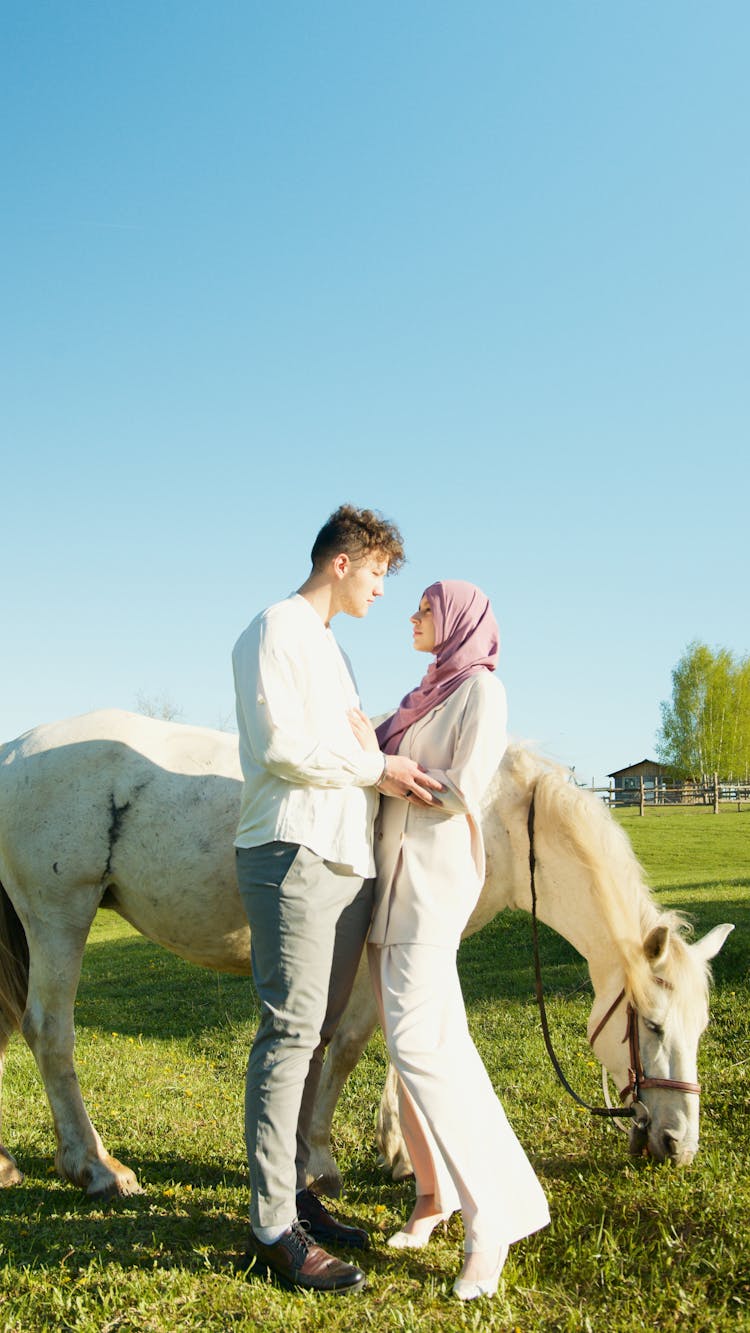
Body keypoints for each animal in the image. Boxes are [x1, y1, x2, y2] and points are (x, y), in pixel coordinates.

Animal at [0, 709, 735, 1199]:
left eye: (699, 1028)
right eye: (652, 1025)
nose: (679, 1145)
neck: (488, 817)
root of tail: (14, 753)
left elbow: (398, 1038)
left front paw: (398, 1152)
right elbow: (354, 1043)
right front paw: (321, 1160)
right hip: (59, 916)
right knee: (50, 1034)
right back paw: (95, 1165)